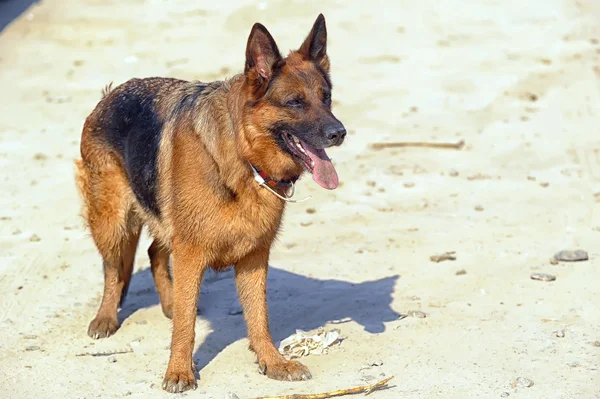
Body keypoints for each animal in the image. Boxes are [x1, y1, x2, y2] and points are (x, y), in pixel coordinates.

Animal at [75, 13, 346, 394]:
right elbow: (185, 326)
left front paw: (272, 362)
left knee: (155, 255)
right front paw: (179, 371)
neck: (243, 154)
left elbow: (259, 317)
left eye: (326, 97)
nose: (340, 133)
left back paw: (169, 302)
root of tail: (109, 94)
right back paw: (106, 317)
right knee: (114, 268)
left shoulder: (253, 257)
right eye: (295, 102)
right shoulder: (190, 253)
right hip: (113, 223)